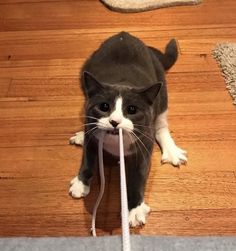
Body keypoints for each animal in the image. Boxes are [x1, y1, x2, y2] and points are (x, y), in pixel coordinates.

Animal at [68, 31, 186, 227]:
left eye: (132, 110)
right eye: (104, 106)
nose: (114, 121)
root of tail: (125, 34)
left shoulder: (144, 144)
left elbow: (138, 175)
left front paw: (136, 209)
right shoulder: (92, 131)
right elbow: (88, 157)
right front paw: (81, 182)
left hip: (161, 91)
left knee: (161, 123)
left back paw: (171, 150)